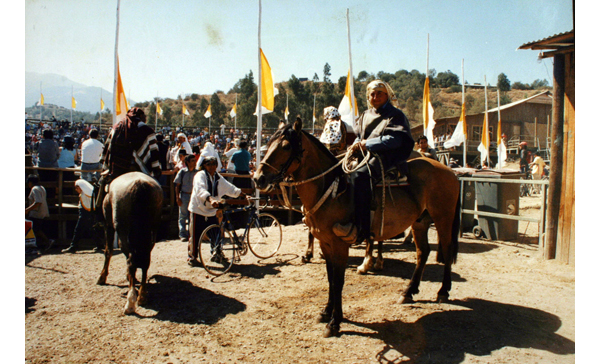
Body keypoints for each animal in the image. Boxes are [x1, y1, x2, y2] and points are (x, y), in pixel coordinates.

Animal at [98, 172, 164, 314]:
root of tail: (139, 184)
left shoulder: (108, 225)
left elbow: (108, 250)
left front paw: (102, 277)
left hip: (123, 232)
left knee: (131, 261)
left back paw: (130, 302)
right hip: (152, 230)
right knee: (144, 261)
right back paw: (142, 295)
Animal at [253, 118, 460, 336]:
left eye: (285, 146)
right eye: (269, 144)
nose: (258, 178)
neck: (333, 189)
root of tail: (449, 171)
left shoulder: (339, 245)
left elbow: (338, 281)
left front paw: (335, 322)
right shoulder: (325, 243)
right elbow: (330, 278)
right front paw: (326, 312)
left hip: (443, 218)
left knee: (446, 250)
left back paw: (443, 291)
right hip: (419, 222)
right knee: (423, 253)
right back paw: (408, 291)